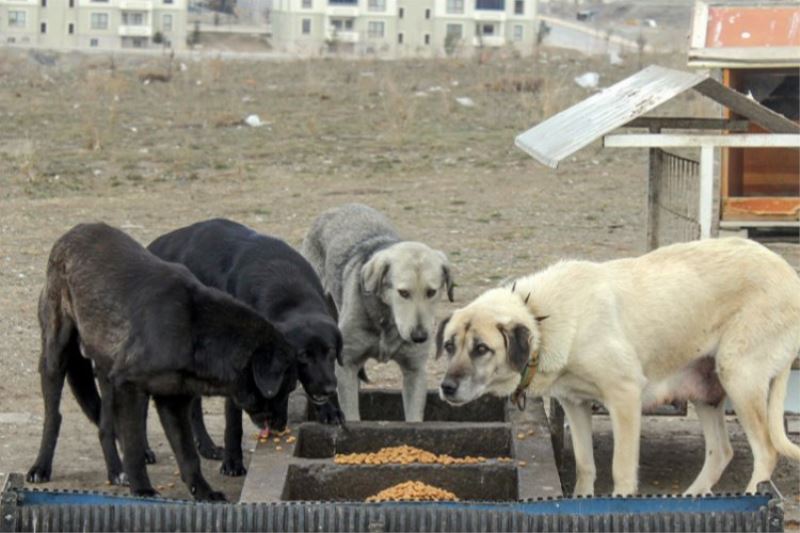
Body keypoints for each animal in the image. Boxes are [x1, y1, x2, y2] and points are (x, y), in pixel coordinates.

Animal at [27, 223, 294, 498]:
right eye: (287, 388)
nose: (282, 426)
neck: (195, 330)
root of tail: (73, 232)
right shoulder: (130, 388)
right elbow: (134, 446)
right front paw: (143, 490)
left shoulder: (171, 401)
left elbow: (188, 456)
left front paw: (204, 493)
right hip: (56, 357)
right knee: (54, 417)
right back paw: (41, 467)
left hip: (106, 375)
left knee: (104, 426)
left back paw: (115, 471)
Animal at [148, 218, 342, 476]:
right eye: (303, 356)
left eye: (331, 352)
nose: (328, 389)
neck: (289, 291)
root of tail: (153, 246)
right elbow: (233, 422)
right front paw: (233, 462)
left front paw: (330, 410)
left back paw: (206, 446)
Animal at [304, 204, 454, 420]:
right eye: (403, 292)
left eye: (431, 292)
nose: (419, 337)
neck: (387, 319)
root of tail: (338, 207)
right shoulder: (347, 365)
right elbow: (352, 416)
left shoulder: (415, 371)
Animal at [438, 237, 800, 494]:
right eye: (449, 345)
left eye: (481, 349)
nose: (446, 388)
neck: (542, 317)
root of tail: (787, 272)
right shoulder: (574, 404)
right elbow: (585, 465)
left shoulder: (625, 396)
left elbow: (621, 470)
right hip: (706, 391)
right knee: (722, 452)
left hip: (739, 376)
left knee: (766, 452)